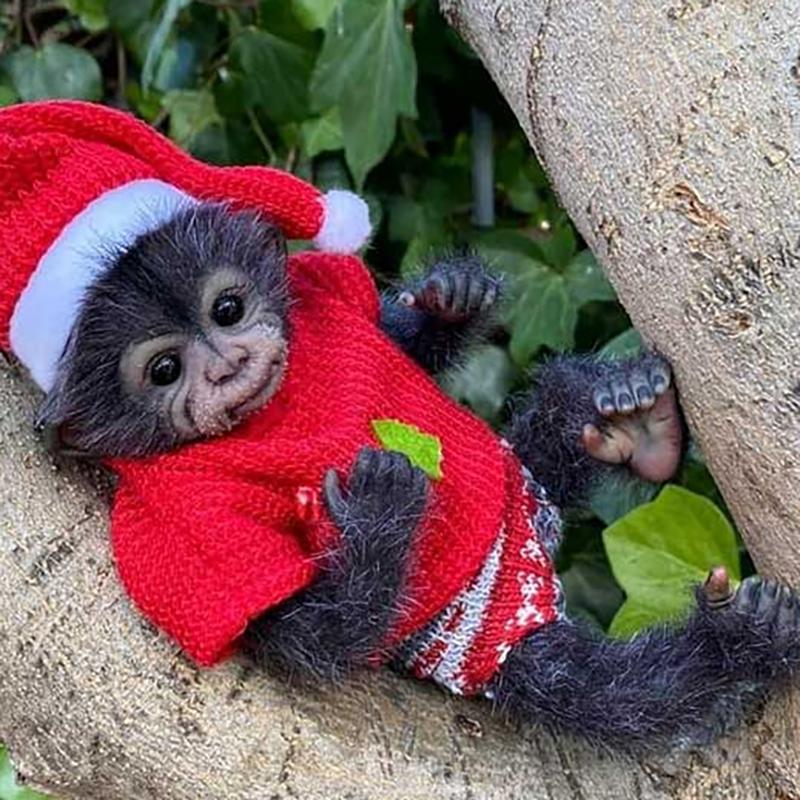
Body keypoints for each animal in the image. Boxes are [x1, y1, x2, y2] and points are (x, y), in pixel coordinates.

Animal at [29, 201, 800, 756]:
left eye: (227, 309)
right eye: (163, 370)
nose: (224, 366)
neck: (272, 411)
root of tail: (539, 551)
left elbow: (398, 346)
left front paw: (449, 298)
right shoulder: (182, 521)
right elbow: (313, 639)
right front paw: (377, 513)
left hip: (523, 476)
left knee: (554, 423)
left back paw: (634, 423)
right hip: (495, 647)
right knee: (613, 693)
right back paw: (736, 640)